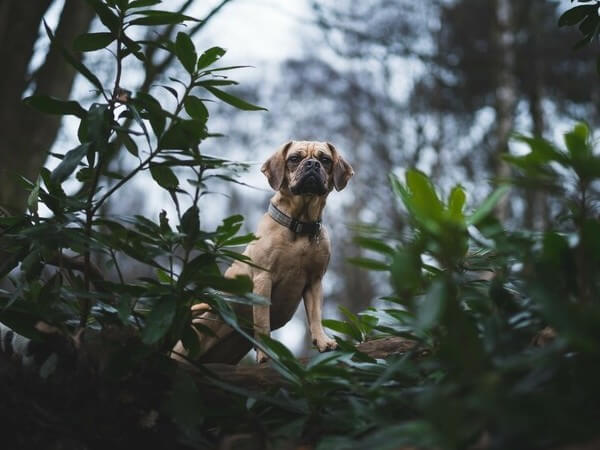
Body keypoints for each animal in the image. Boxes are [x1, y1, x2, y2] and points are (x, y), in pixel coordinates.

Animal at [171, 141, 354, 366]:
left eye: (326, 160)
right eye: (294, 158)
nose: (312, 164)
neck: (299, 224)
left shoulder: (314, 282)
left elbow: (315, 315)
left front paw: (322, 340)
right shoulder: (263, 279)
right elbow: (262, 321)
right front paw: (266, 352)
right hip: (193, 338)